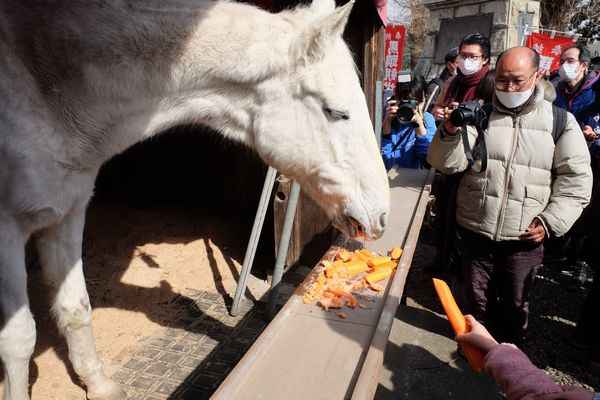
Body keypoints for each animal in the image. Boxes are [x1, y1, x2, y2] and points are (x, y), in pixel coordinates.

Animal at [0, 0, 390, 398]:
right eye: (336, 112)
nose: (381, 217)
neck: (48, 81)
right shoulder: (8, 231)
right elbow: (18, 339)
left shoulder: (66, 214)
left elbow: (75, 307)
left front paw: (98, 385)